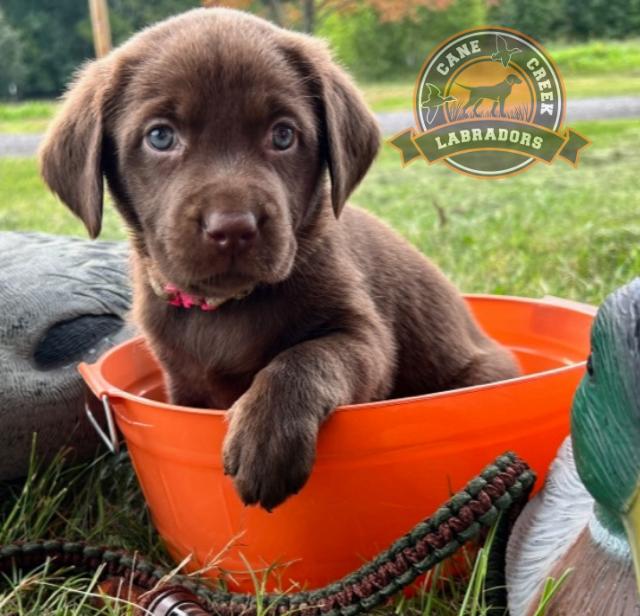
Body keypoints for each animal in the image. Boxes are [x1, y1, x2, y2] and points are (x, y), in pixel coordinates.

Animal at [39, 9, 520, 510]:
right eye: (160, 137)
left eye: (283, 135)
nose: (233, 228)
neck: (228, 308)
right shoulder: (182, 383)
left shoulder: (364, 338)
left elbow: (304, 357)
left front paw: (266, 437)